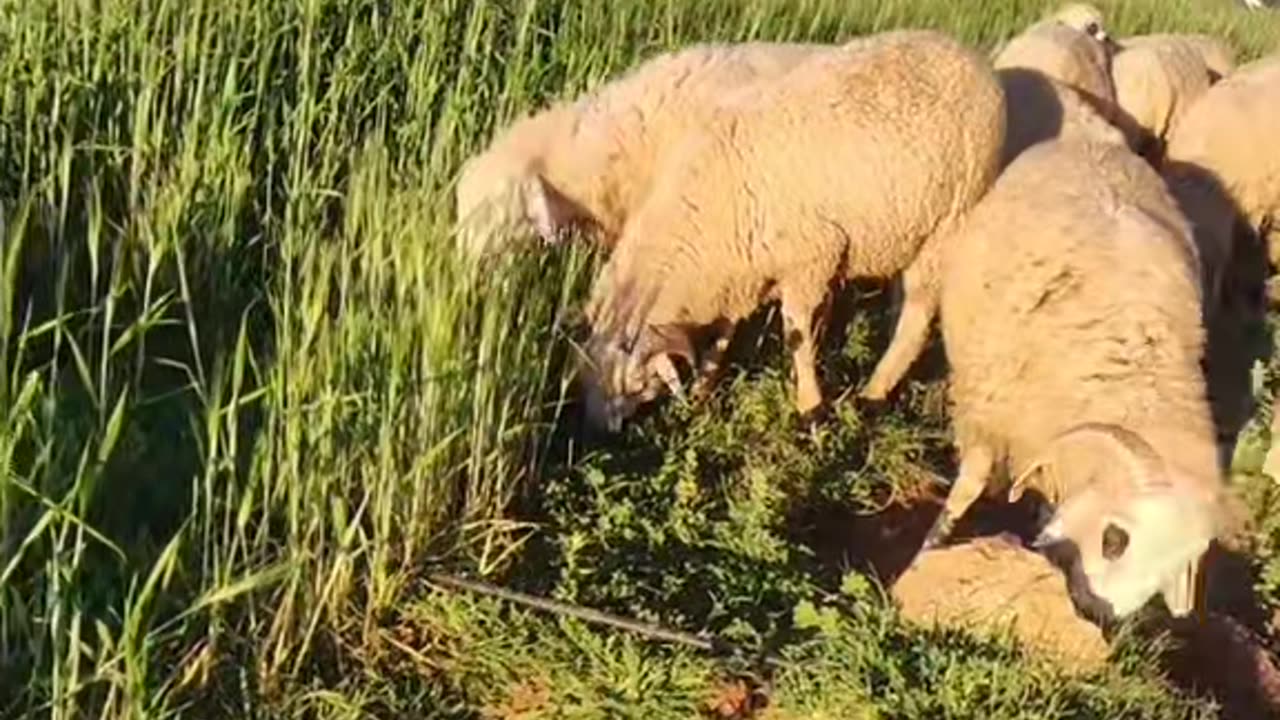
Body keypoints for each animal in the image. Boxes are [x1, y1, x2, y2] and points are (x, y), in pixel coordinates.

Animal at [576, 28, 1003, 427]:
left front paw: (809, 406)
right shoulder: (741, 267)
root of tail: (965, 52)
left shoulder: (810, 261)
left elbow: (796, 334)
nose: (595, 428)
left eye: (635, 385)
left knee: (918, 314)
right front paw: (703, 388)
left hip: (948, 222)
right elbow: (724, 330)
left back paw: (874, 392)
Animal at [926, 135, 1233, 622]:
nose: (1098, 615)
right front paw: (928, 548)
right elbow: (966, 489)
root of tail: (1097, 144)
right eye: (1114, 539)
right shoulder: (987, 413)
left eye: (1166, 575)